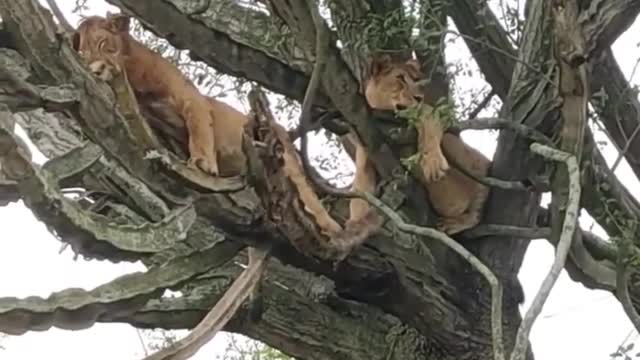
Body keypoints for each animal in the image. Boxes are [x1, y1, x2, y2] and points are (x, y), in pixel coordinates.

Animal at [72, 13, 248, 176]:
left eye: (102, 43)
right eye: (82, 54)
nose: (96, 70)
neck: (132, 75)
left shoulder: (192, 98)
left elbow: (199, 129)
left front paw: (202, 161)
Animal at [360, 53, 490, 233]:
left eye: (416, 80)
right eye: (400, 78)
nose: (419, 98)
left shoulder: (433, 112)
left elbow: (429, 129)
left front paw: (432, 164)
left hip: (464, 154)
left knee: (478, 206)